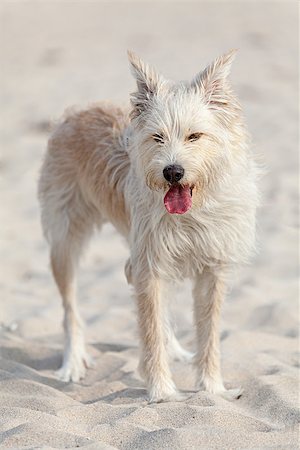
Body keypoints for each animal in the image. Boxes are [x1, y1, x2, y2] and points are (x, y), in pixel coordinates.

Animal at [38, 51, 258, 402]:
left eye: (194, 136)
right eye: (157, 137)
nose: (172, 171)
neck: (193, 212)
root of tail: (76, 111)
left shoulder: (212, 270)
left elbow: (208, 334)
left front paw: (212, 388)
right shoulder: (149, 266)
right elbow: (150, 331)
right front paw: (162, 392)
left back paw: (177, 350)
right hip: (65, 241)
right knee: (70, 308)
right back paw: (72, 362)